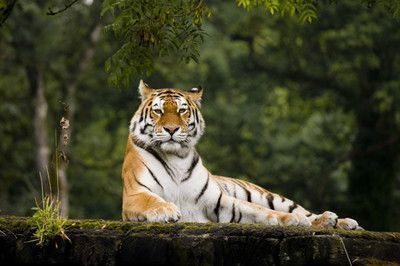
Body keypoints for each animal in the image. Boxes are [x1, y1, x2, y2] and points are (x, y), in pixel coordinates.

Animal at [120, 80, 360, 230]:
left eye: (182, 111)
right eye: (158, 111)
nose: (171, 129)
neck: (177, 158)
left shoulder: (219, 201)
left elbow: (256, 210)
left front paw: (293, 219)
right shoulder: (135, 194)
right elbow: (152, 200)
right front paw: (168, 210)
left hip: (270, 196)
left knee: (303, 210)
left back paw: (337, 220)